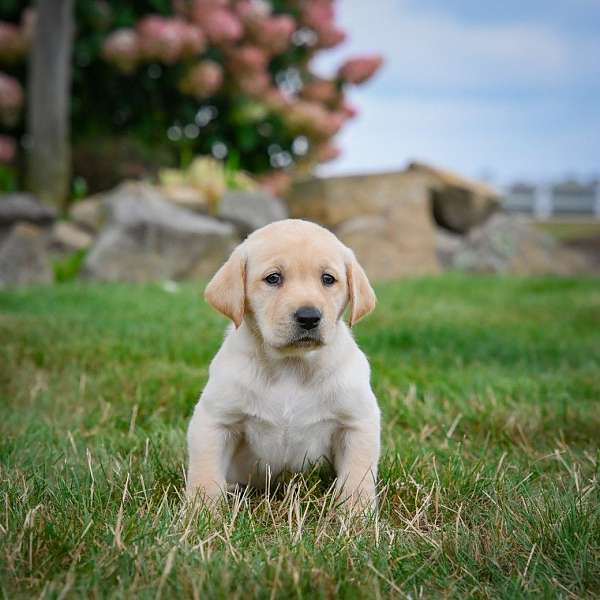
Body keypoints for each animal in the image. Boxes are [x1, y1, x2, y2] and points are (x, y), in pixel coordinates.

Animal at [186, 218, 380, 512]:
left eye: (328, 279)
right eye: (273, 278)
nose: (309, 316)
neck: (291, 365)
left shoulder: (358, 422)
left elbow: (358, 477)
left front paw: (357, 516)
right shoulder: (215, 421)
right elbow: (205, 475)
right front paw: (200, 515)